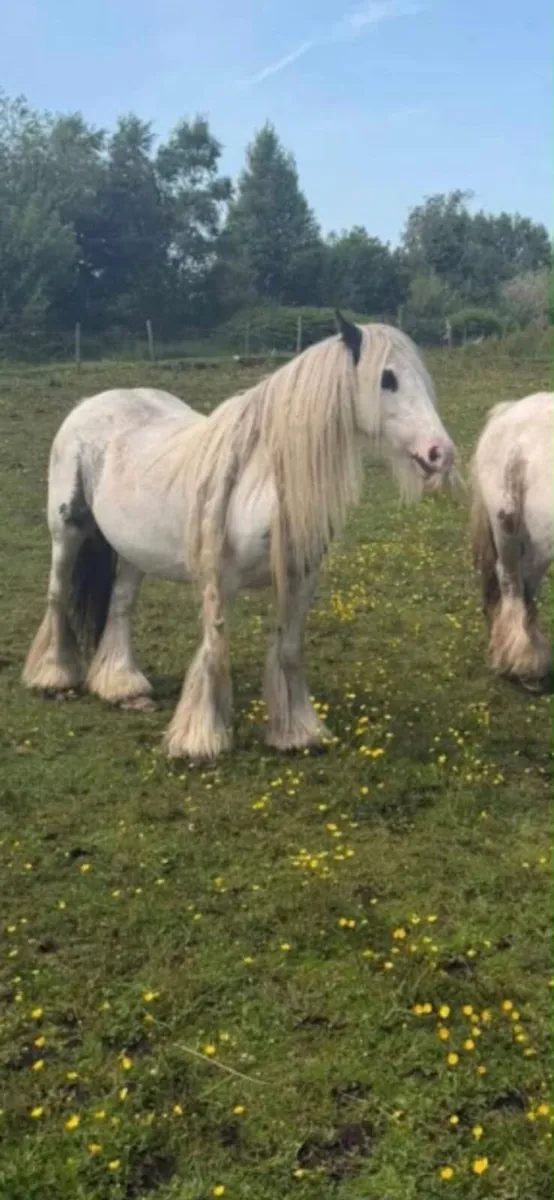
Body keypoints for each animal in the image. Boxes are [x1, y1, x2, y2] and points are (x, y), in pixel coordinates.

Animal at [22, 314, 457, 760]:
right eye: (387, 379)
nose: (441, 452)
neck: (263, 479)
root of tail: (90, 403)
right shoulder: (220, 581)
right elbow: (214, 648)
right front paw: (201, 740)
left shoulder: (301, 580)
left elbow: (288, 649)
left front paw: (297, 732)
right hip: (66, 531)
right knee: (57, 595)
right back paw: (54, 678)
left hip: (132, 551)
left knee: (121, 606)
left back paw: (122, 686)